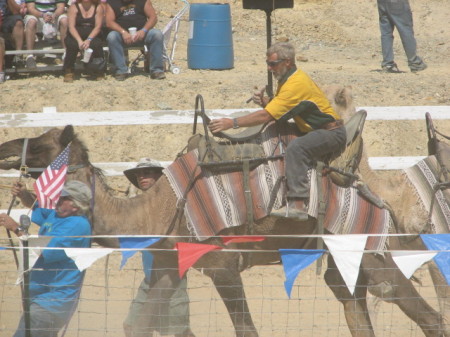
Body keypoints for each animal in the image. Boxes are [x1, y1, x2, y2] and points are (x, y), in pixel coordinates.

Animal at [0, 121, 446, 336]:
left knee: (427, 315)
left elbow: (246, 329)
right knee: (356, 308)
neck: (158, 209)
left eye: (41, 143)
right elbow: (138, 325)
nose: (6, 148)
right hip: (343, 261)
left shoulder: (222, 265)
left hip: (373, 249)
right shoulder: (170, 265)